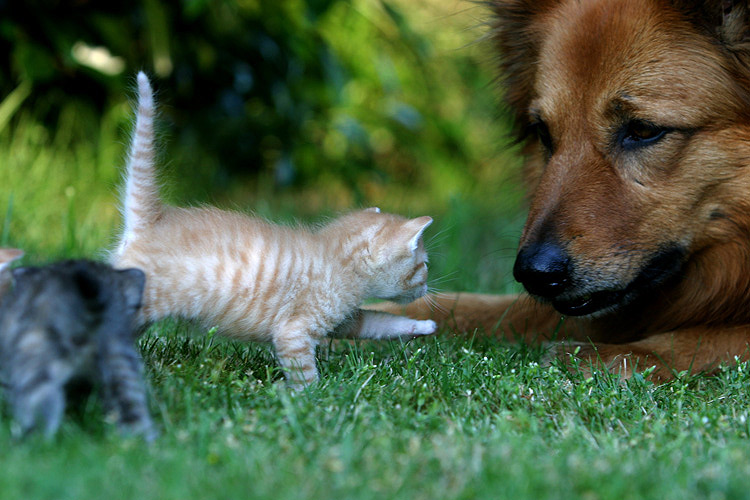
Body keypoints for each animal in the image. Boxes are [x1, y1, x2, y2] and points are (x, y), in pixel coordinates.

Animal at [0, 254, 156, 442]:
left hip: (34, 351)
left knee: (40, 399)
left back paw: (34, 440)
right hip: (118, 356)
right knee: (131, 406)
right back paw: (137, 444)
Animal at [114, 73, 438, 386]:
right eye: (424, 265)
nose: (427, 287)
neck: (337, 258)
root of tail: (152, 219)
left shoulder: (346, 318)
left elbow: (378, 323)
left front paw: (423, 326)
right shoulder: (294, 330)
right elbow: (304, 372)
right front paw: (309, 396)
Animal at [378, 0, 750, 378]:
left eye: (644, 130)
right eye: (543, 132)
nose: (535, 274)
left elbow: (715, 339)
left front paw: (613, 356)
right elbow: (474, 307)